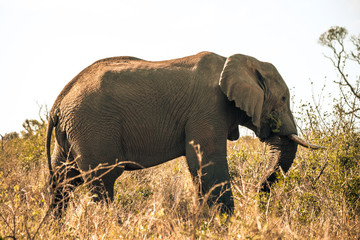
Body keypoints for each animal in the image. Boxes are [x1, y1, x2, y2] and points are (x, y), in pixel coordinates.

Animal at [45, 51, 320, 215]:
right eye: (283, 99)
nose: (257, 194)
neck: (237, 60)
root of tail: (59, 102)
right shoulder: (208, 109)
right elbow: (208, 163)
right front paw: (225, 222)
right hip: (92, 127)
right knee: (103, 180)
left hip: (72, 132)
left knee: (63, 181)